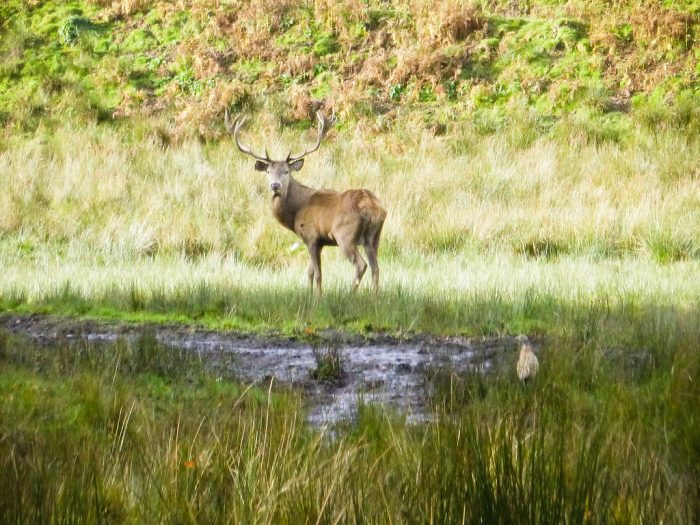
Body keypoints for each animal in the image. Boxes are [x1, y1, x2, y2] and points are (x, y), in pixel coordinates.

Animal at [226, 110, 386, 294]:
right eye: (268, 171)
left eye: (286, 171)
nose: (275, 185)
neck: (296, 210)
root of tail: (372, 207)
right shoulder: (319, 242)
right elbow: (309, 272)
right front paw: (308, 294)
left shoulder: (310, 235)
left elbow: (317, 274)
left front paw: (317, 296)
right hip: (374, 236)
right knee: (376, 267)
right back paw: (374, 295)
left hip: (345, 235)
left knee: (361, 265)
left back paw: (350, 293)